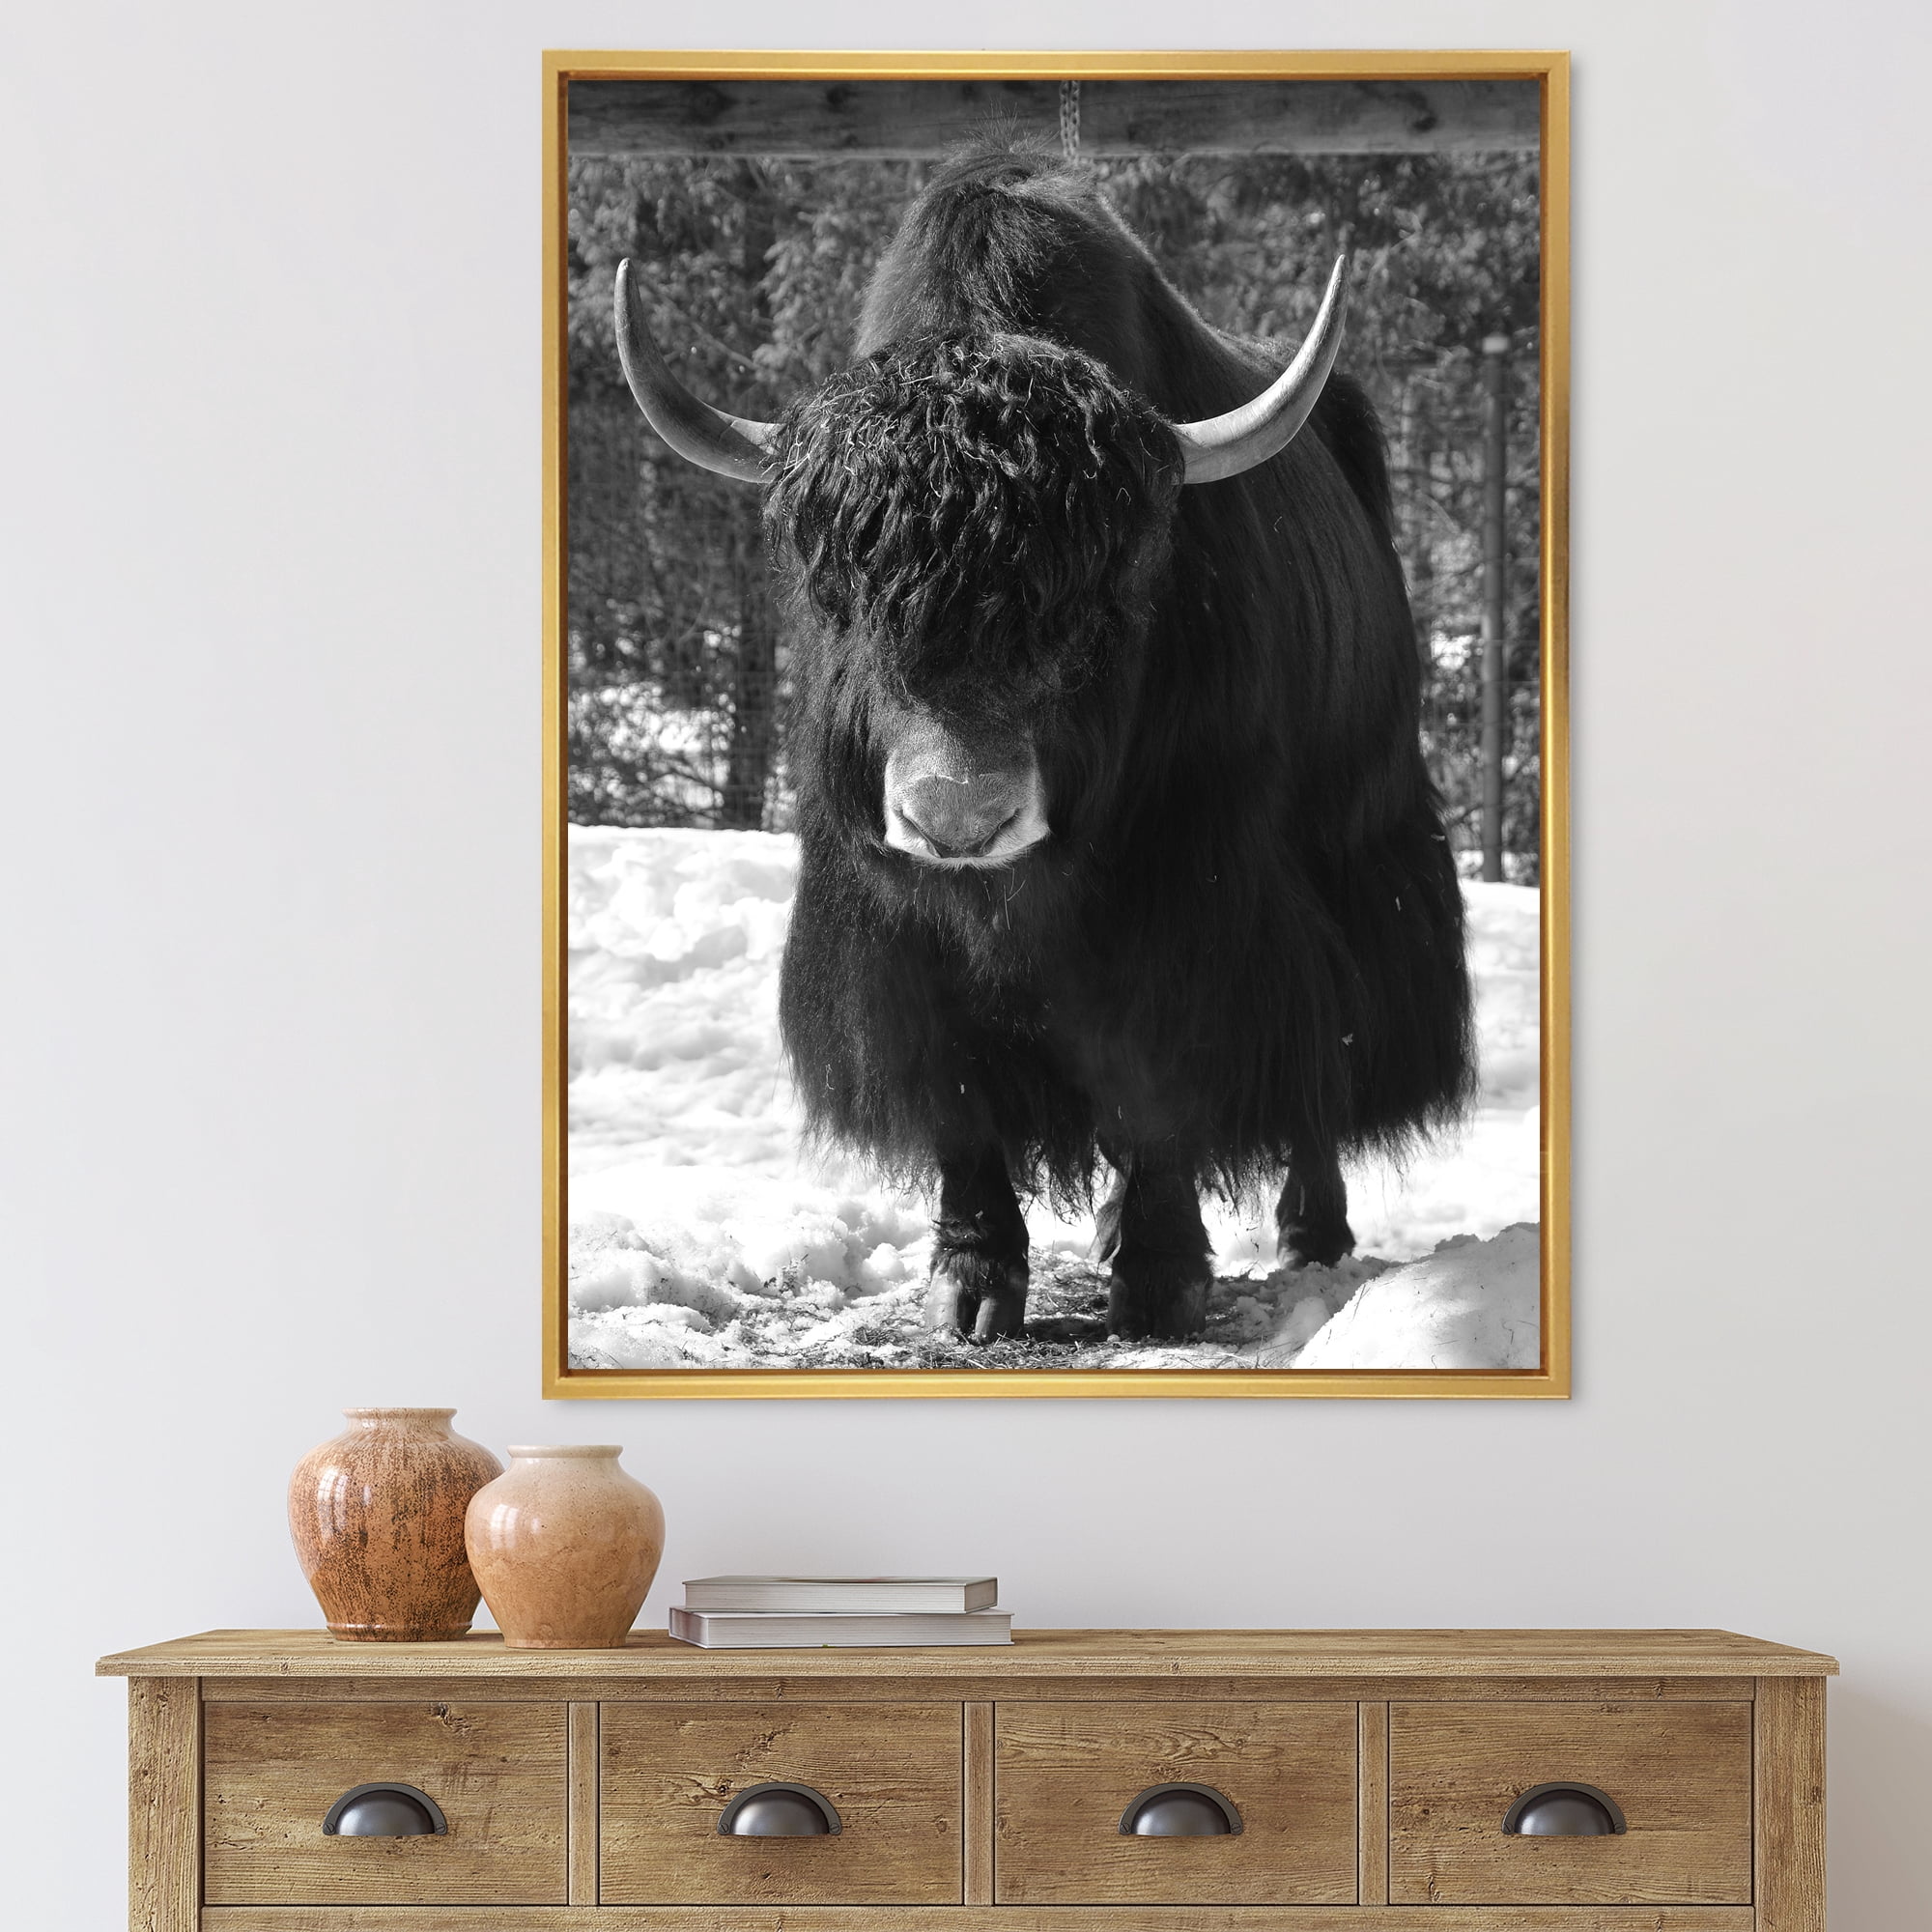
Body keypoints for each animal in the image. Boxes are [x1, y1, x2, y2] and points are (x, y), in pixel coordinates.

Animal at [610, 140, 1475, 1343]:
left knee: (1328, 1049)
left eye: (1100, 600)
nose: (958, 817)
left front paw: (1156, 1279)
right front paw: (971, 1282)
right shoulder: (889, 930)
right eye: (841, 592)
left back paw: (1314, 1232)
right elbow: (955, 1090)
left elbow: (1159, 1073)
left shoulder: (1189, 901)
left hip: (1359, 843)